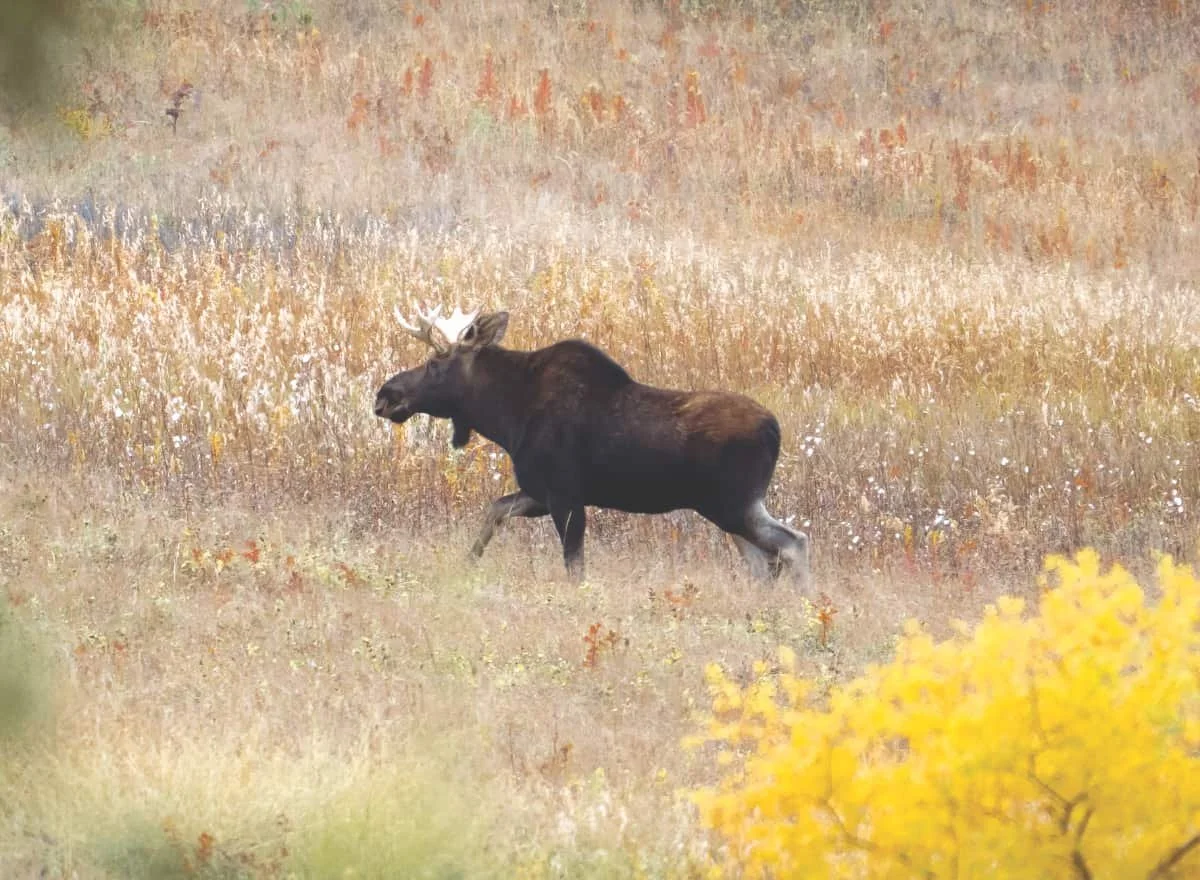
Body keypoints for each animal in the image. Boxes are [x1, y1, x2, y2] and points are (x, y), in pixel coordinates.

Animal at [374, 304, 809, 587]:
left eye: (435, 362)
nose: (385, 395)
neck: (505, 417)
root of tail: (775, 430)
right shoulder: (539, 491)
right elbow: (494, 510)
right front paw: (467, 564)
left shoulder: (564, 494)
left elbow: (574, 567)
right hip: (731, 510)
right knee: (764, 562)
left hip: (731, 504)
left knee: (792, 544)